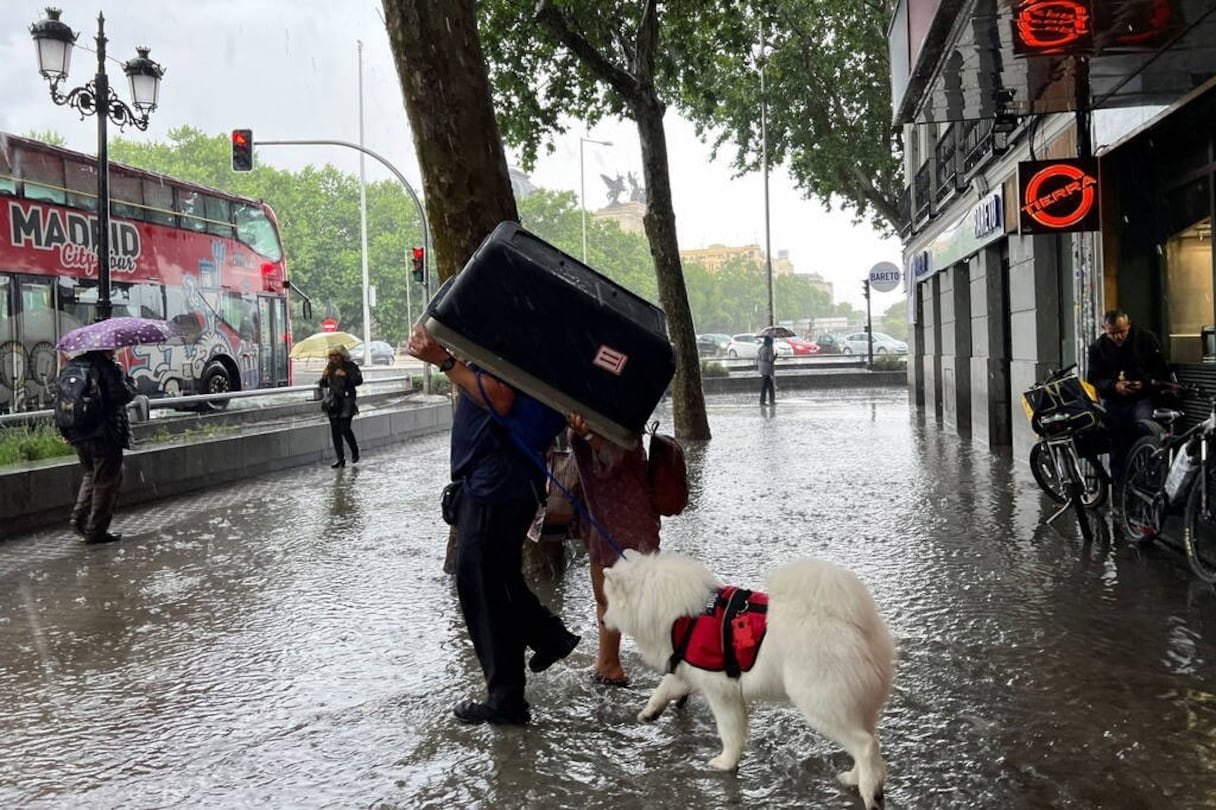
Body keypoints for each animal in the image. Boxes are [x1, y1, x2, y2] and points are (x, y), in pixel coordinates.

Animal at [600, 549, 894, 807]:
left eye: (609, 601)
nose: (602, 621)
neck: (680, 617)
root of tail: (853, 623)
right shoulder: (690, 670)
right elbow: (664, 688)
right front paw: (648, 713)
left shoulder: (721, 691)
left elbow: (729, 732)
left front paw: (725, 763)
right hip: (854, 704)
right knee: (870, 743)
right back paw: (855, 778)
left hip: (820, 702)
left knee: (865, 745)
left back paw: (871, 793)